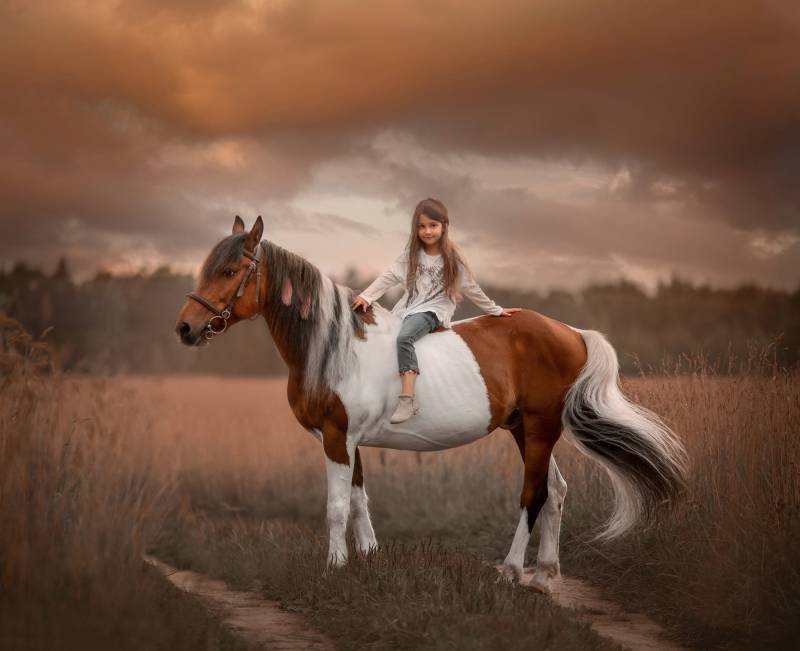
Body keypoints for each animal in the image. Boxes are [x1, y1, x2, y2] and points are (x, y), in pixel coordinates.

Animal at [175, 216, 687, 591]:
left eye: (230, 271)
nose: (185, 328)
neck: (335, 345)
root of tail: (573, 333)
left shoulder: (338, 439)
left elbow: (337, 506)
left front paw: (335, 568)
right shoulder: (351, 441)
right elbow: (359, 500)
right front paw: (369, 558)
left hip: (541, 427)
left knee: (535, 494)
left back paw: (511, 570)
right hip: (524, 428)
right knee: (556, 491)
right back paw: (544, 575)